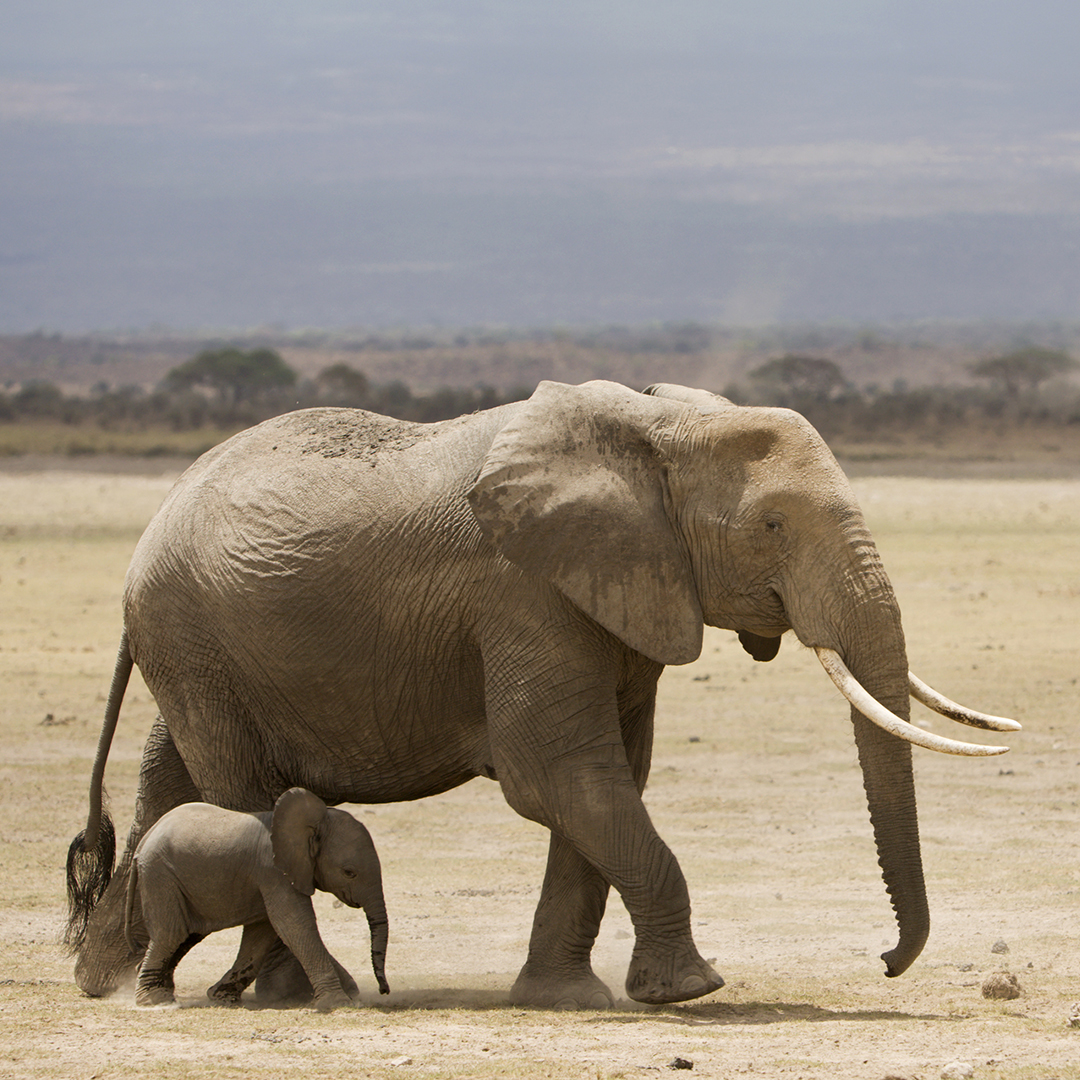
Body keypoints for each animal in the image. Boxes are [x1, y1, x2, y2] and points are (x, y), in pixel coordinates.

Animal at [126, 786, 388, 1010]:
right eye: (349, 872)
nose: (384, 990)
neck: (313, 822)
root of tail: (144, 840)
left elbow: (263, 931)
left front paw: (222, 997)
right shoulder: (273, 870)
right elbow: (293, 924)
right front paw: (338, 1002)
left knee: (188, 935)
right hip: (160, 874)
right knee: (172, 933)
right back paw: (154, 1000)